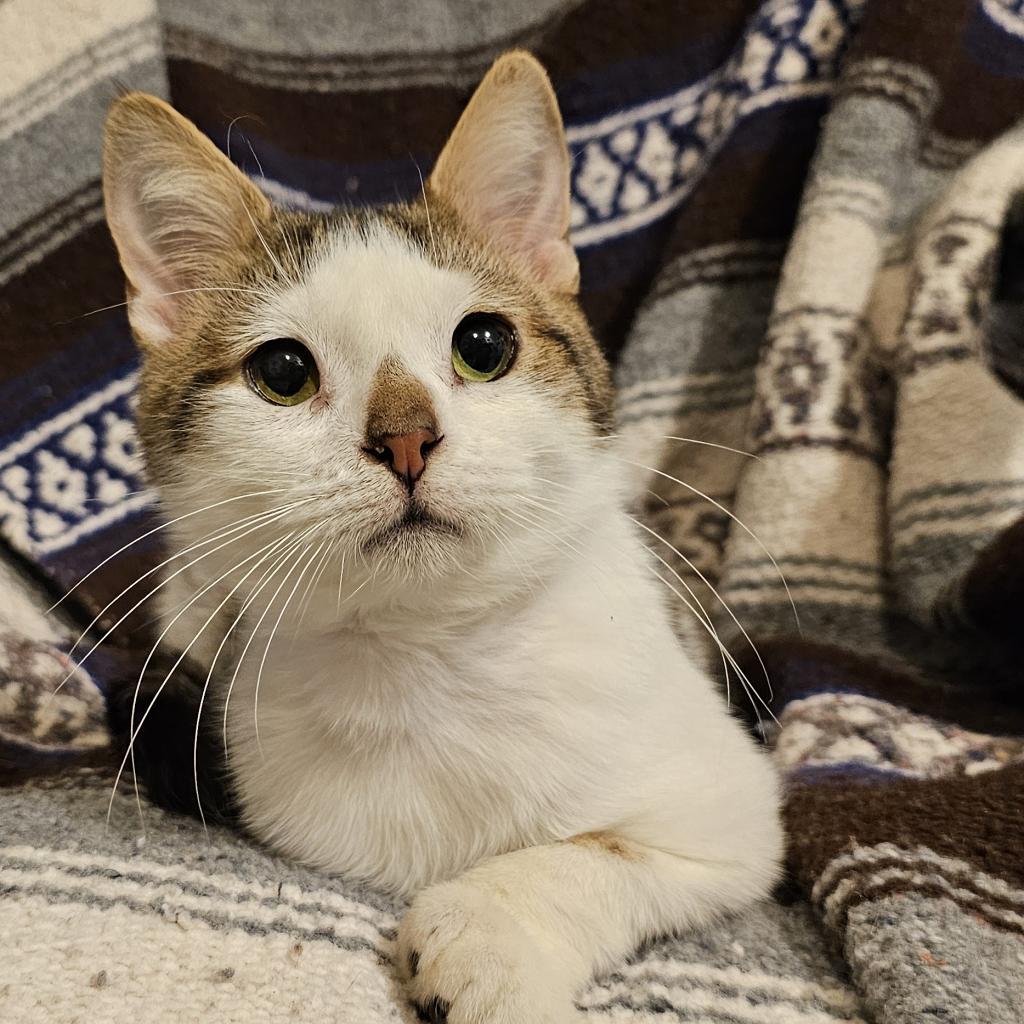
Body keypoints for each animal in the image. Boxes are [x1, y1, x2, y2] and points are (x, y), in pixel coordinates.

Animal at [99, 51, 778, 1024]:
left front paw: (492, 934)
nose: (407, 438)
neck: (415, 652)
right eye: (282, 370)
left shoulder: (731, 812)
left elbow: (602, 852)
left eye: (483, 345)